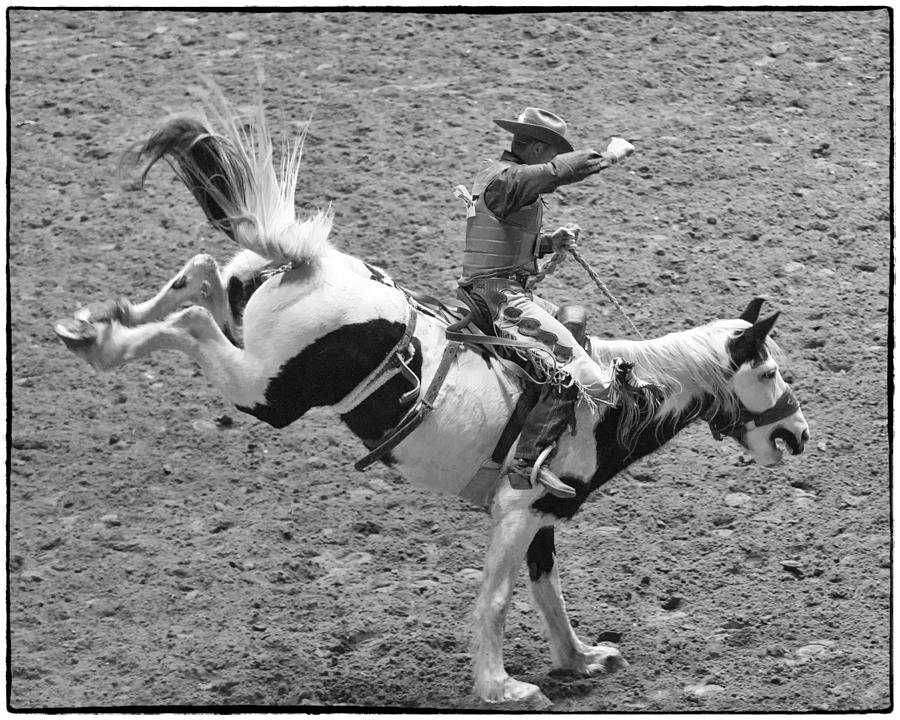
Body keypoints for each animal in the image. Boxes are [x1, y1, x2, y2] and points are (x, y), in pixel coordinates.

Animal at [58, 87, 816, 704]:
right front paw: (502, 685)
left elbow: (547, 588)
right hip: (267, 392)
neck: (616, 396)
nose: (800, 435)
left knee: (201, 275)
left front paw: (579, 659)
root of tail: (310, 262)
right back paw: (104, 342)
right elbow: (499, 596)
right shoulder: (518, 504)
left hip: (250, 326)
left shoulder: (545, 514)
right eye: (770, 373)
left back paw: (96, 324)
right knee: (192, 319)